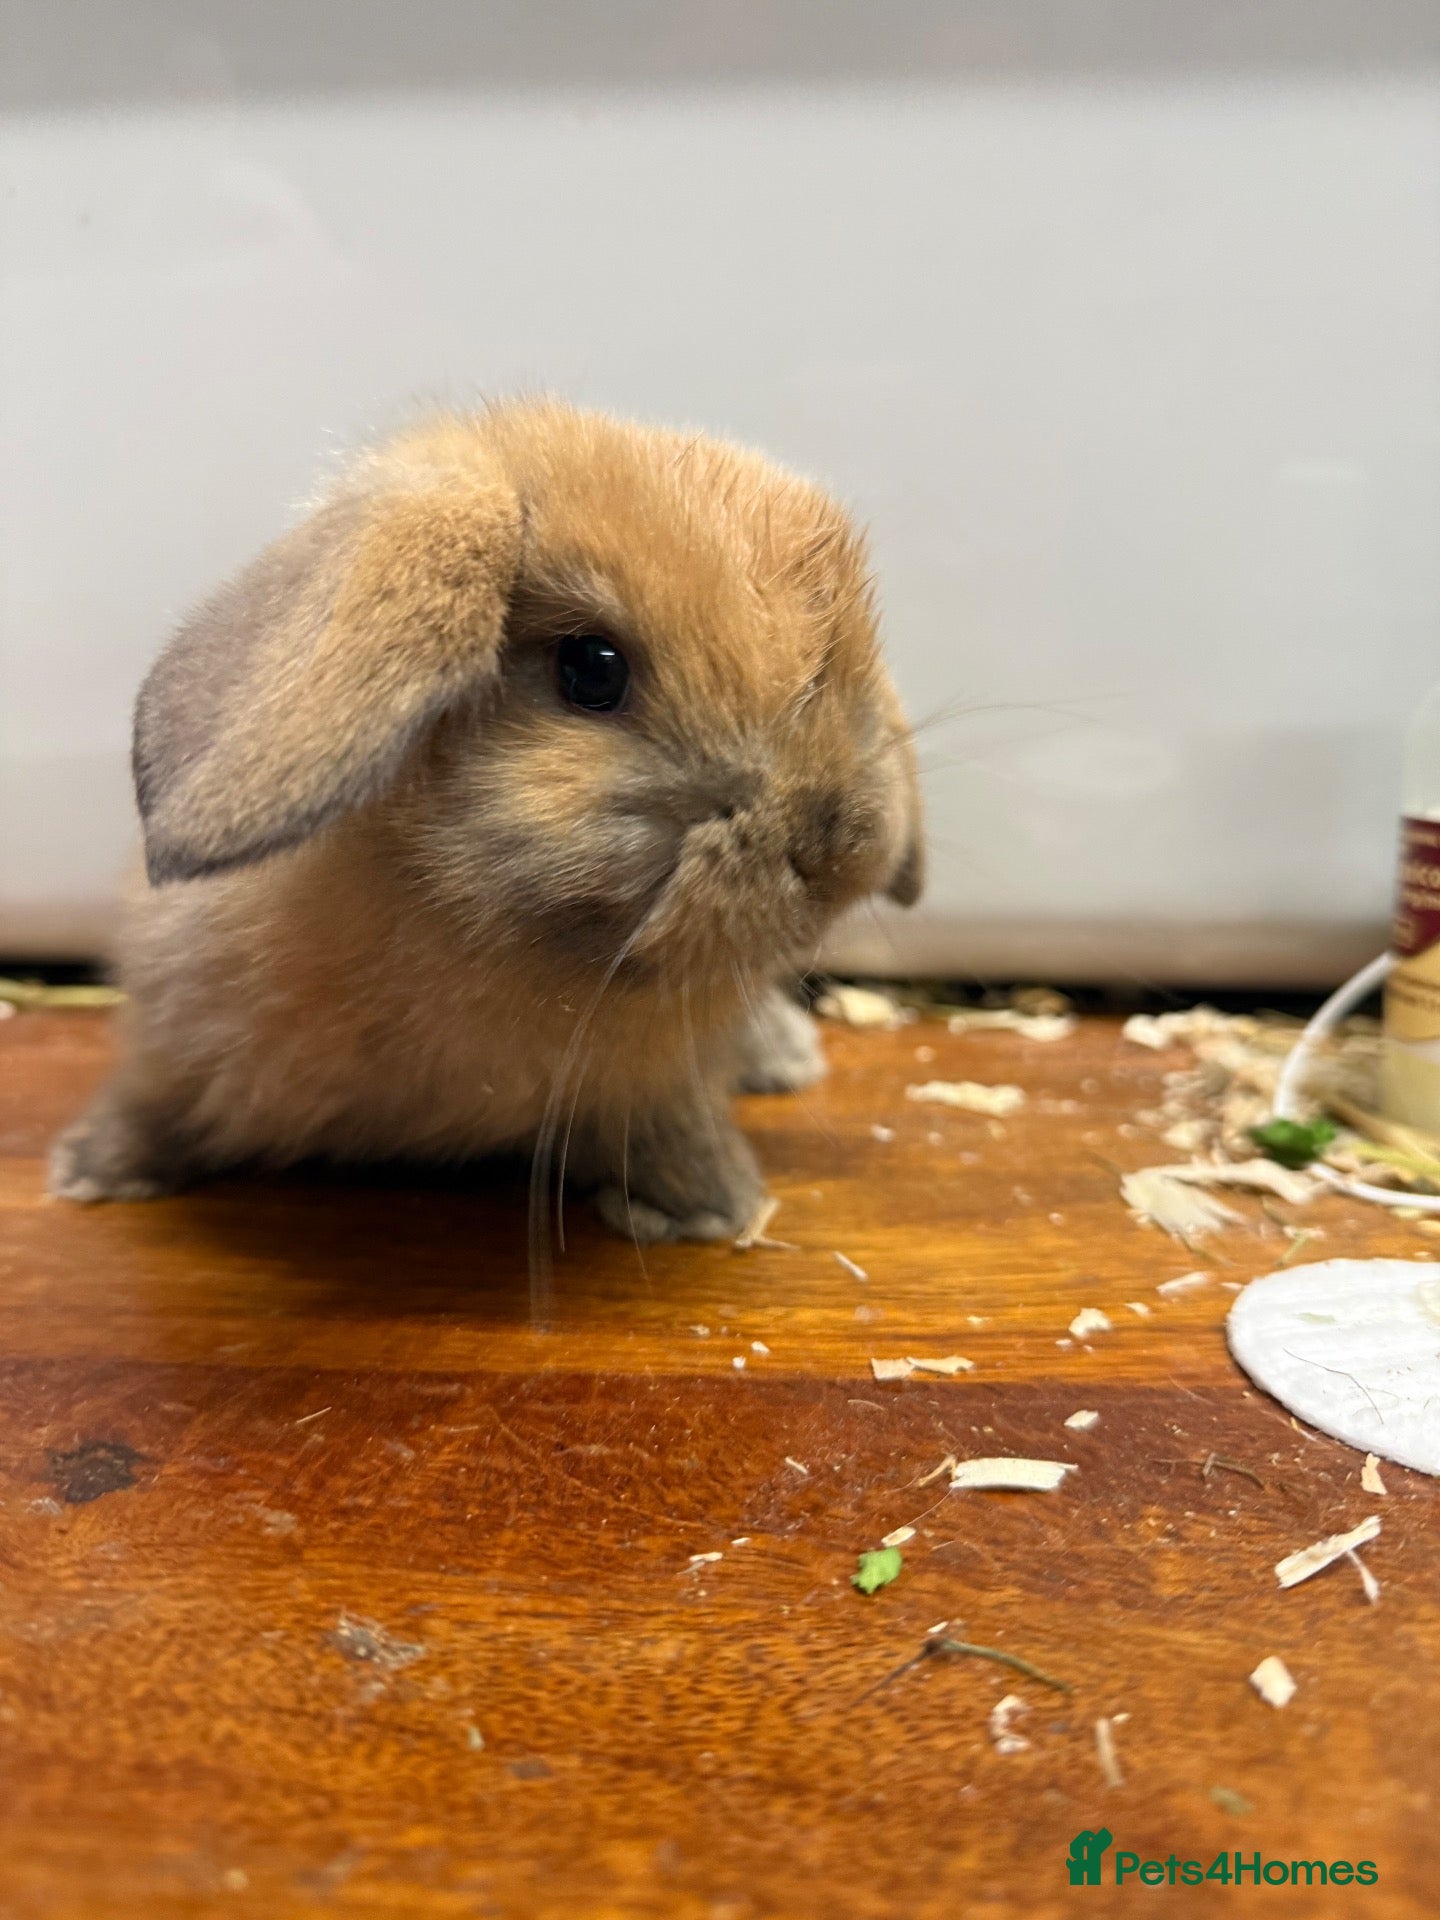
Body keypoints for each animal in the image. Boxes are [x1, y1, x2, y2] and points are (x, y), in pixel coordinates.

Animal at [49, 400, 923, 1242]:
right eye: (591, 669)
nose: (836, 849)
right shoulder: (175, 1038)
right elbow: (151, 1102)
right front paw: (91, 1171)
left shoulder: (662, 1087)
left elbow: (678, 1133)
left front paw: (716, 1211)